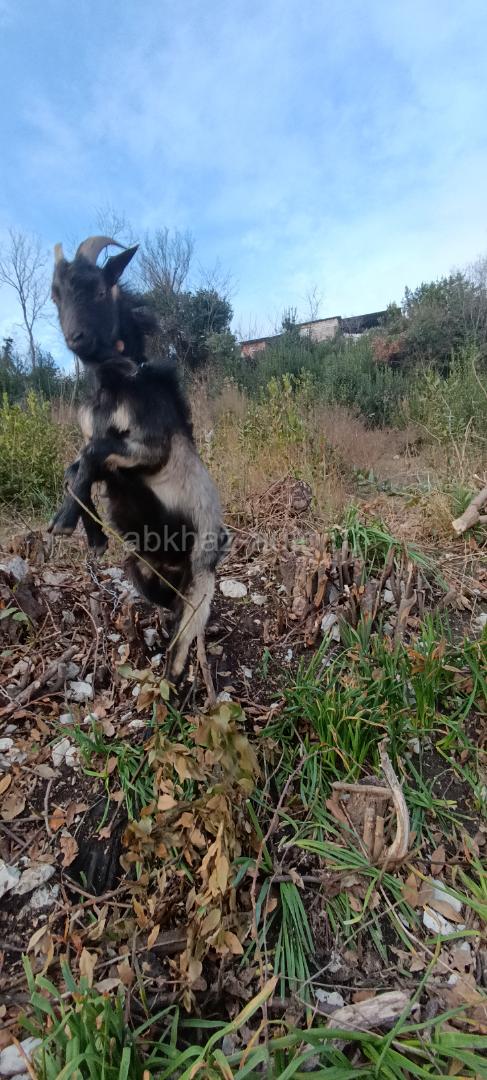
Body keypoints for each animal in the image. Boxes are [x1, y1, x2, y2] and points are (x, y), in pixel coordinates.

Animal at [49, 236, 228, 701]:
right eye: (56, 295)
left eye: (99, 289)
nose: (75, 338)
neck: (117, 385)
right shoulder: (107, 453)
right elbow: (76, 466)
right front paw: (90, 533)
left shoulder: (151, 448)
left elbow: (92, 453)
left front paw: (65, 523)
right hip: (140, 568)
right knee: (167, 605)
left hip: (202, 587)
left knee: (181, 649)